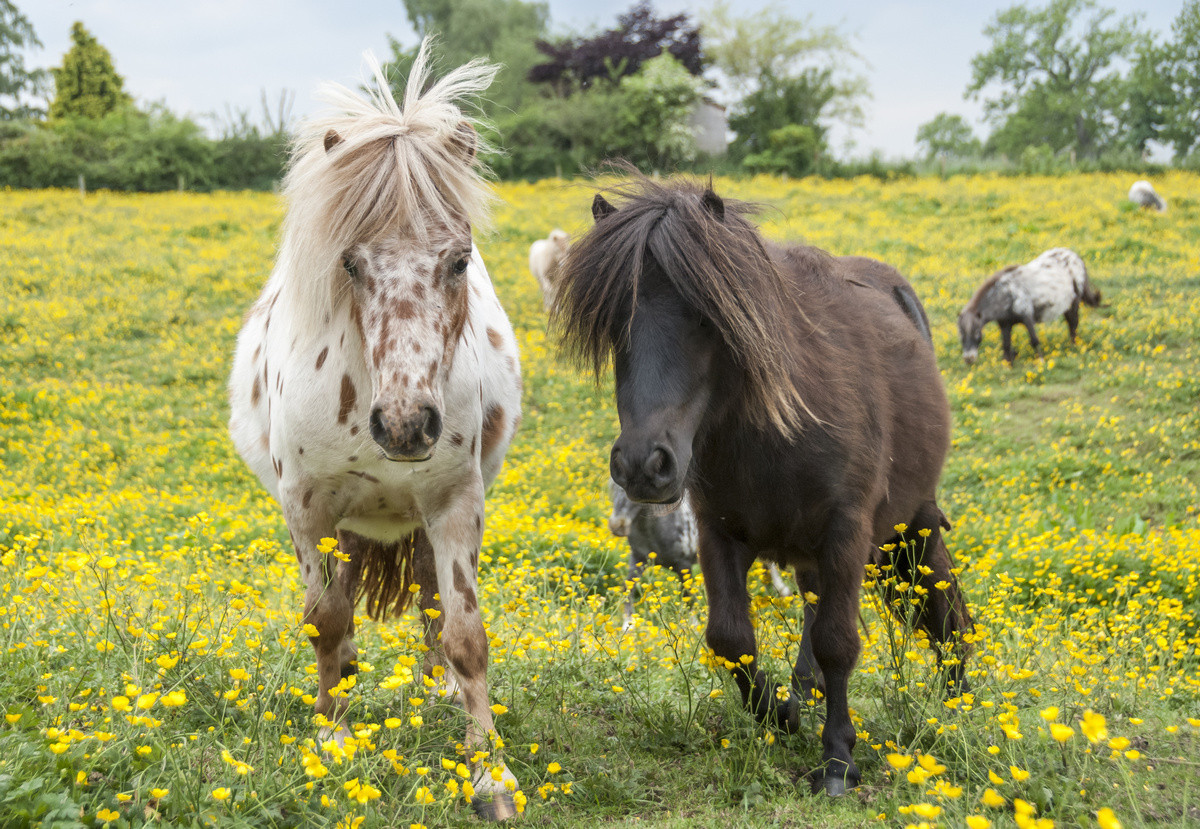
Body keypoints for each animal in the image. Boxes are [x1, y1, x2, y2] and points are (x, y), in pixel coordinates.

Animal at [229, 40, 520, 825]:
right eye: (351, 262)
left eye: (458, 260)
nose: (406, 424)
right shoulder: (309, 508)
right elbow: (325, 620)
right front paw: (331, 741)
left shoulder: (454, 504)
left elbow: (465, 632)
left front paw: (490, 773)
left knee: (426, 599)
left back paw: (432, 685)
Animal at [552, 178, 974, 801]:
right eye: (613, 322)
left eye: (707, 318)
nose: (643, 465)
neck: (774, 428)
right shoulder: (720, 535)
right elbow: (732, 639)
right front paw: (784, 713)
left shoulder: (847, 533)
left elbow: (838, 642)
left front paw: (838, 761)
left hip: (910, 524)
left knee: (940, 601)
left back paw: (957, 697)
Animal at [955, 245, 1104, 362]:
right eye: (961, 333)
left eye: (976, 331)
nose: (969, 359)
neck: (1004, 293)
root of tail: (1076, 257)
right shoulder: (1005, 324)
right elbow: (1006, 346)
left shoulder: (1027, 317)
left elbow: (1034, 340)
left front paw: (1041, 363)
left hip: (1074, 303)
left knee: (1073, 324)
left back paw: (1074, 346)